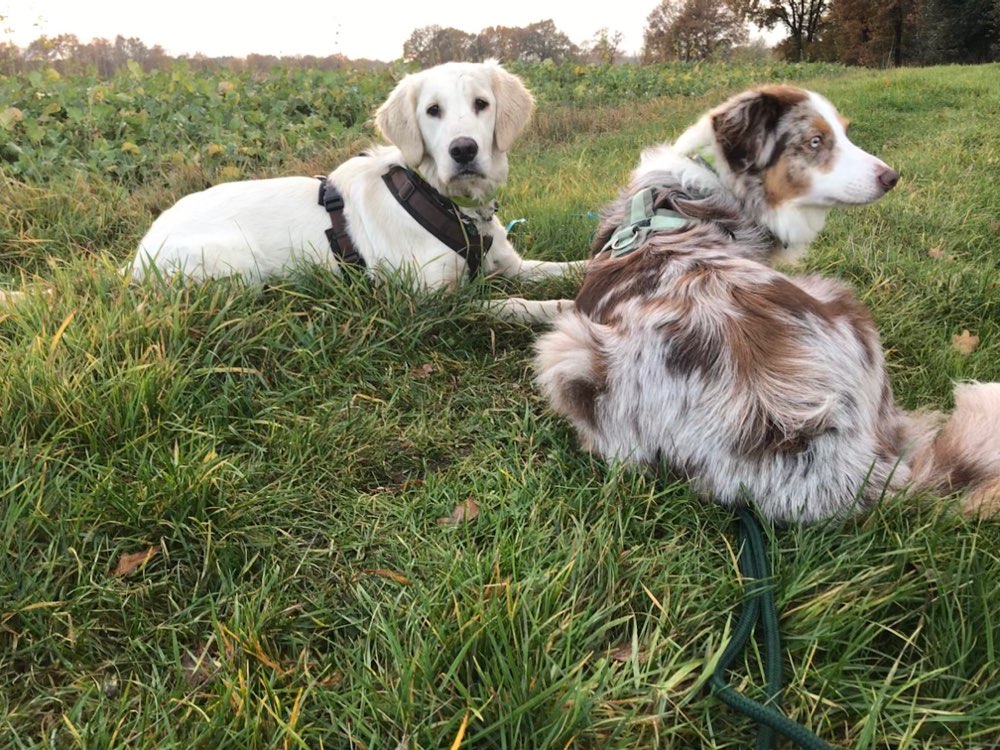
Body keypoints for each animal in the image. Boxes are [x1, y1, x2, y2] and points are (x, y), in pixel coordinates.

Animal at [133, 61, 584, 324]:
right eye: (432, 111)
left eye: (481, 103)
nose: (463, 150)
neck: (450, 205)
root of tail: (138, 254)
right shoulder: (428, 302)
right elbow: (513, 305)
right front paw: (560, 309)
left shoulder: (510, 264)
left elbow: (565, 266)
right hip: (238, 264)